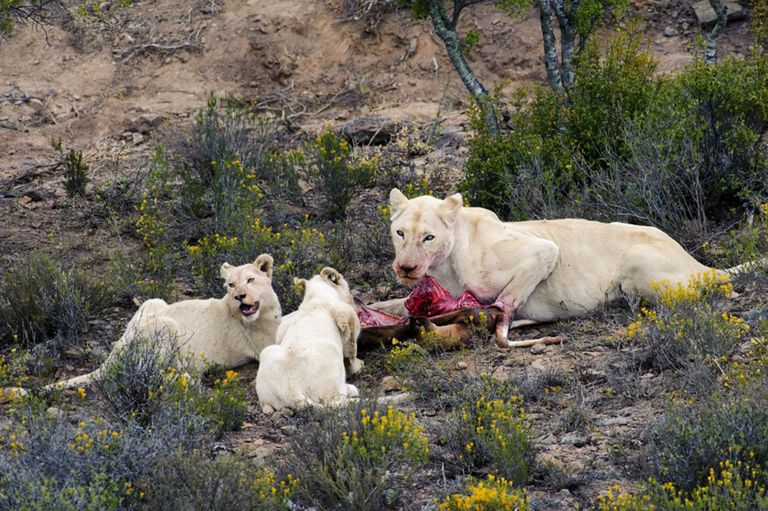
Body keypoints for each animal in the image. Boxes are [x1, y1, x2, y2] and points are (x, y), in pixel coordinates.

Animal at [5, 254, 282, 398]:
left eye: (250, 280)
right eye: (230, 285)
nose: (239, 297)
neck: (264, 311)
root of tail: (117, 350)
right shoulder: (263, 345)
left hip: (154, 301)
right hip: (167, 326)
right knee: (150, 372)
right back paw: (189, 377)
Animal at [255, 267, 364, 414]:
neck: (315, 298)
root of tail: (293, 390)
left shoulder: (284, 324)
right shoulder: (346, 314)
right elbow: (351, 345)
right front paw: (358, 366)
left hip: (267, 357)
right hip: (329, 353)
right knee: (335, 400)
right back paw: (352, 390)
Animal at [379, 189, 744, 348]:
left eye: (429, 237)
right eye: (400, 233)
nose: (407, 267)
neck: (444, 266)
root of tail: (698, 263)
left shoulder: (542, 250)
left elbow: (503, 303)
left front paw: (502, 324)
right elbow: (392, 305)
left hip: (638, 270)